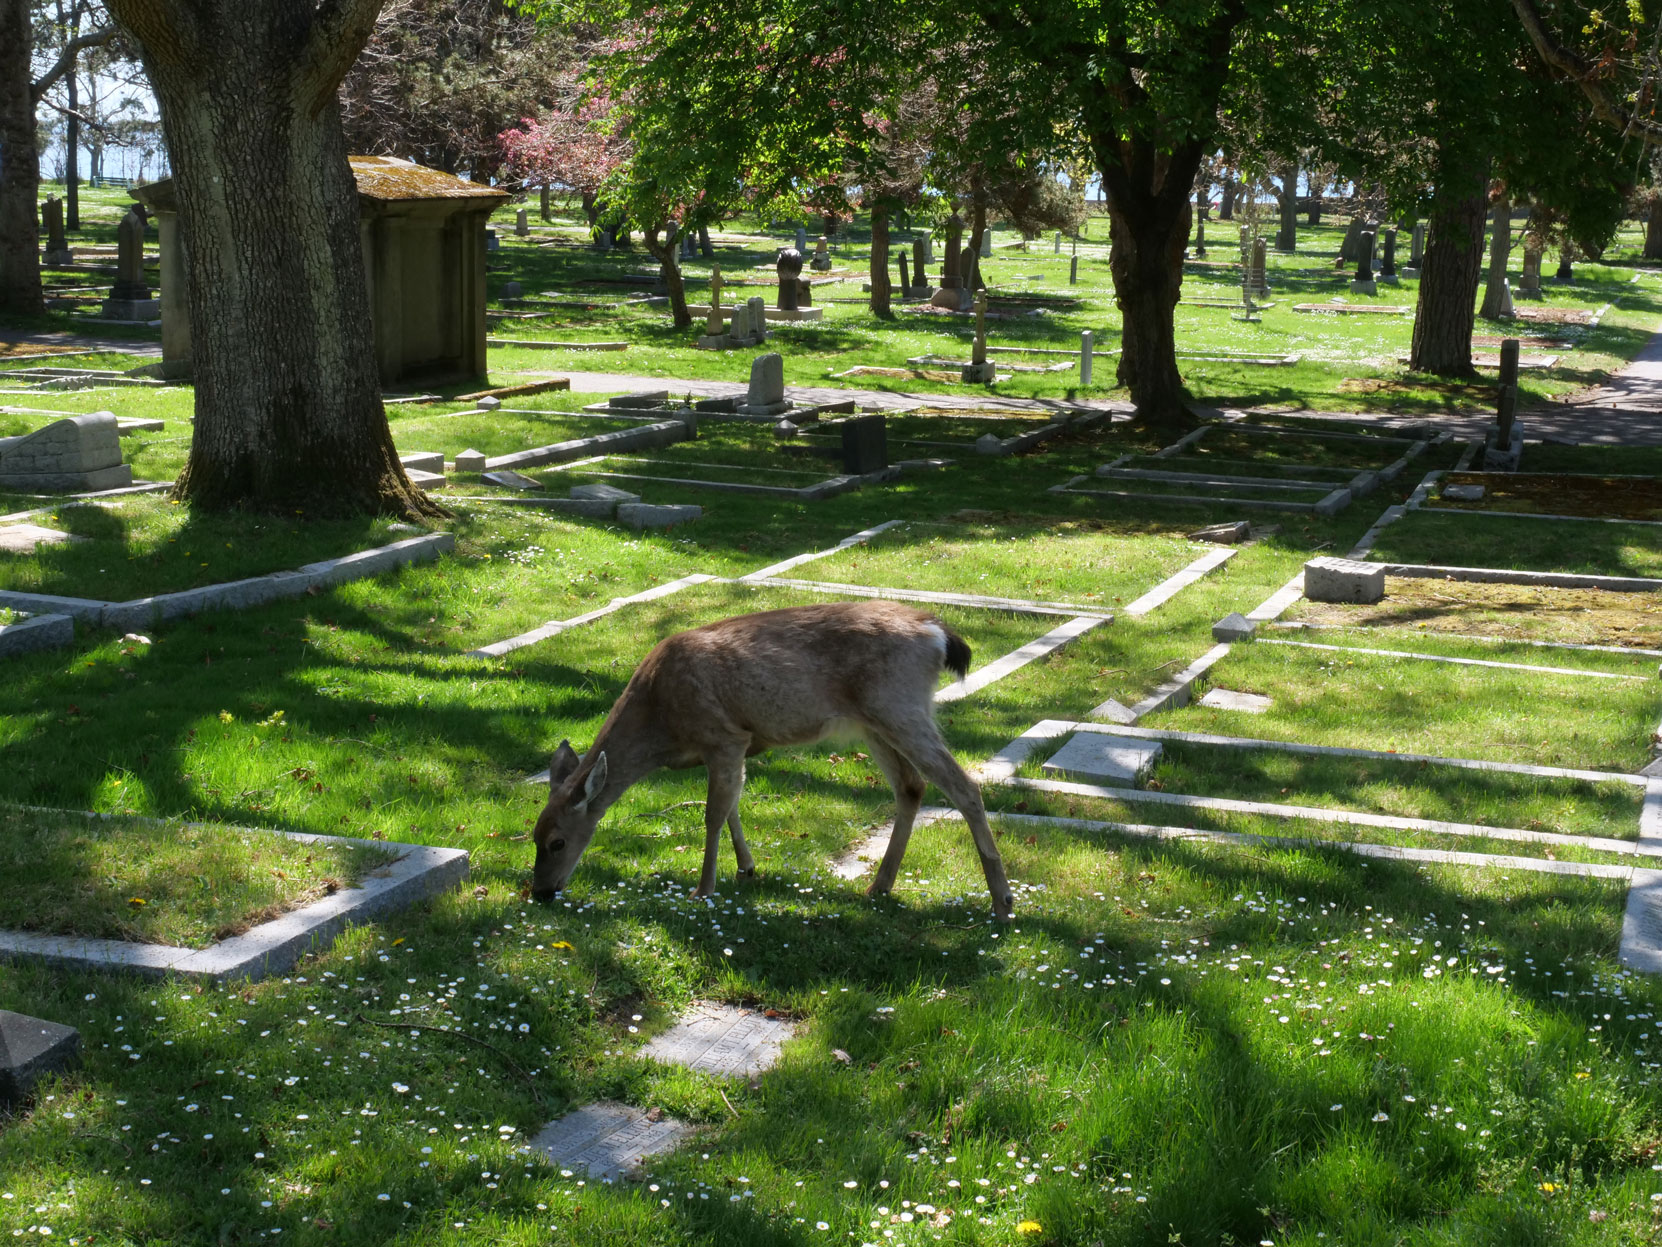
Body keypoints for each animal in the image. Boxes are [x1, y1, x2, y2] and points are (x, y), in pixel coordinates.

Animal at [528, 601, 1010, 924]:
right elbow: (733, 807)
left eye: (557, 842)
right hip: (875, 723)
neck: (660, 723)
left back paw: (1002, 901)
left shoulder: (723, 735)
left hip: (899, 707)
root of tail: (937, 633)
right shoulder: (733, 747)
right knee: (911, 787)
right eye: (532, 836)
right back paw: (879, 885)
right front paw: (747, 867)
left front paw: (702, 889)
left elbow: (712, 815)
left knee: (964, 786)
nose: (540, 892)